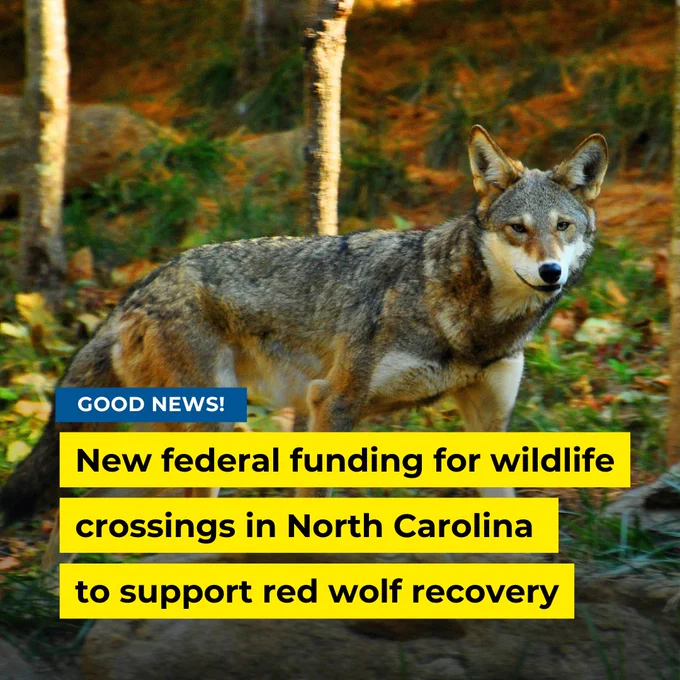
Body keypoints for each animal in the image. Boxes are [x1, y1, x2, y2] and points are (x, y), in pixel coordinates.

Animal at [0, 125, 607, 529]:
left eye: (562, 227)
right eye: (517, 229)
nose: (550, 273)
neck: (469, 323)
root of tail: (140, 285)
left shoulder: (488, 425)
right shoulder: (333, 400)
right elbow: (314, 503)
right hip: (212, 437)